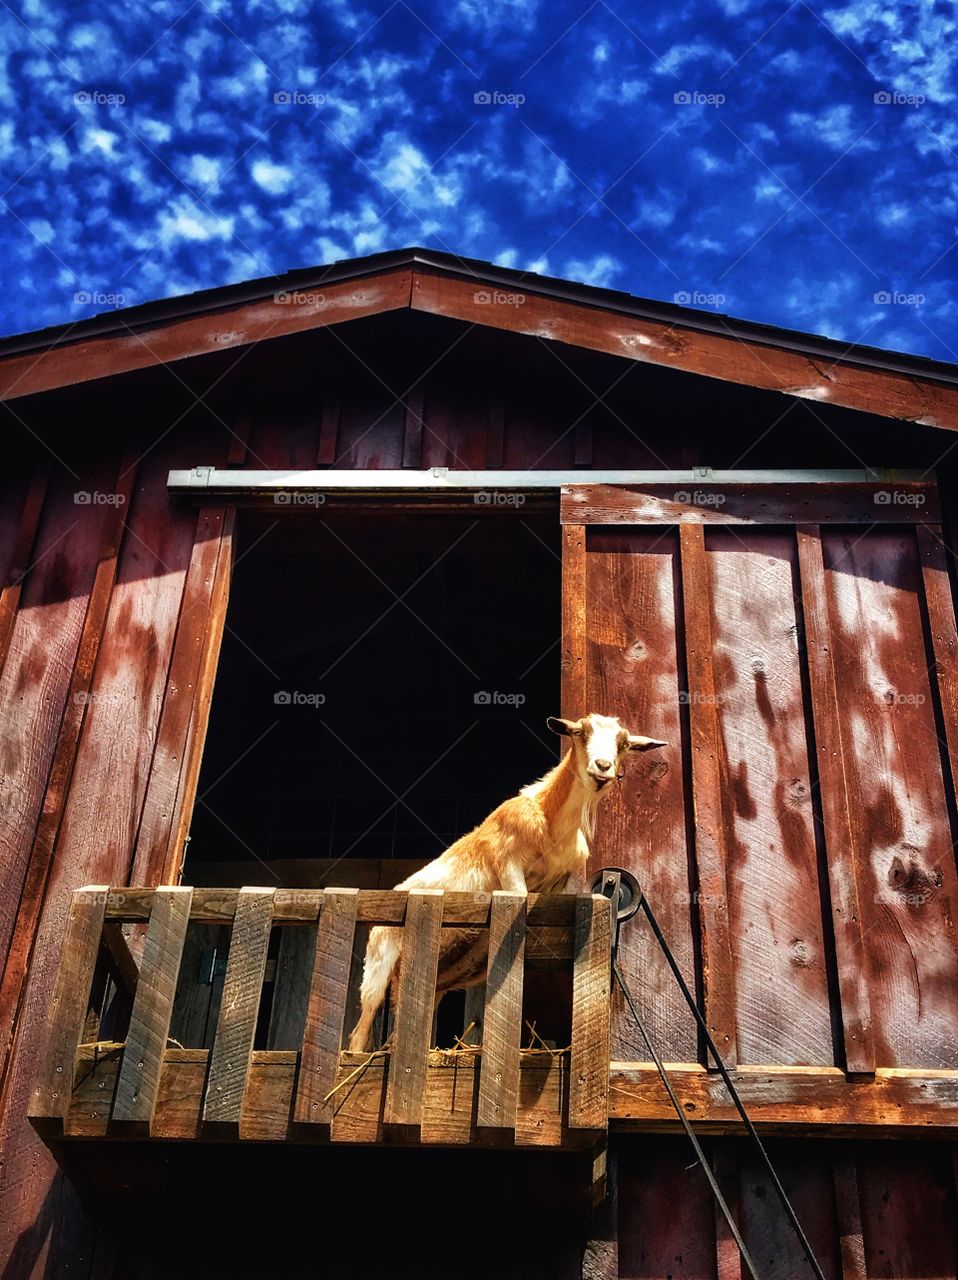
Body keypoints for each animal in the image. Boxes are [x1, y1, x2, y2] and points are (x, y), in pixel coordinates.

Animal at [348, 711, 671, 1049]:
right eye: (580, 732)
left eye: (624, 743)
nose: (603, 766)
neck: (549, 819)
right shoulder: (508, 866)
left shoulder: (561, 882)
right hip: (378, 965)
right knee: (360, 1030)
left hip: (432, 978)